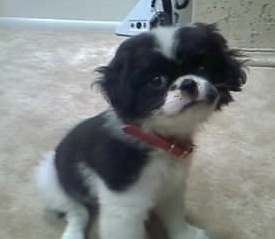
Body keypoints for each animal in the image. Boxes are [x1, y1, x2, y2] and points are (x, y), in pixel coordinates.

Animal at [35, 22, 248, 239]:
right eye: (156, 80)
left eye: (202, 67)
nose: (188, 83)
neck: (156, 139)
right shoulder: (124, 209)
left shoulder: (173, 187)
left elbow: (175, 216)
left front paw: (185, 234)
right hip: (50, 181)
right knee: (77, 212)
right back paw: (73, 233)